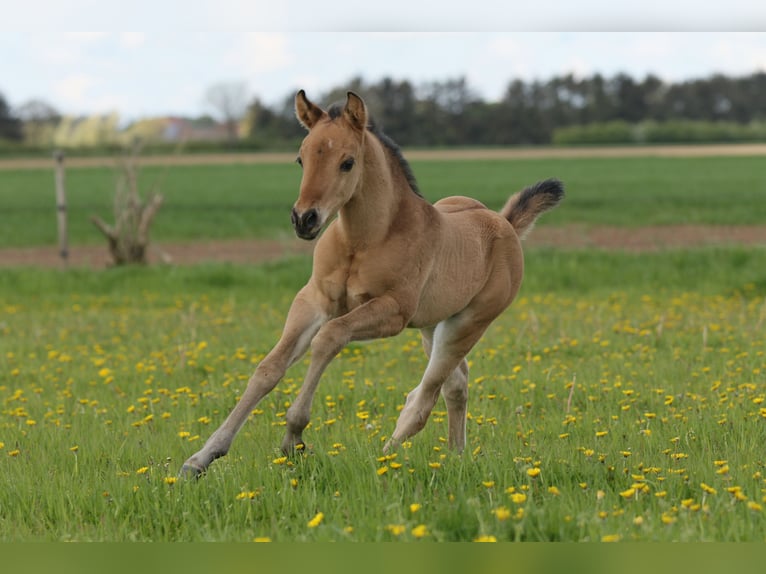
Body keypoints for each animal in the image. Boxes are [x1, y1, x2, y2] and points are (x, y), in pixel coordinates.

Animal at [180, 90, 564, 476]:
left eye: (347, 162)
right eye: (301, 159)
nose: (304, 219)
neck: (363, 241)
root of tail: (504, 223)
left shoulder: (391, 312)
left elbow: (329, 338)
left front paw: (293, 437)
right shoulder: (314, 300)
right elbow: (268, 369)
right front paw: (201, 458)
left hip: (467, 325)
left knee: (424, 398)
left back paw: (386, 456)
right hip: (432, 326)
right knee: (455, 386)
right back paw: (455, 456)